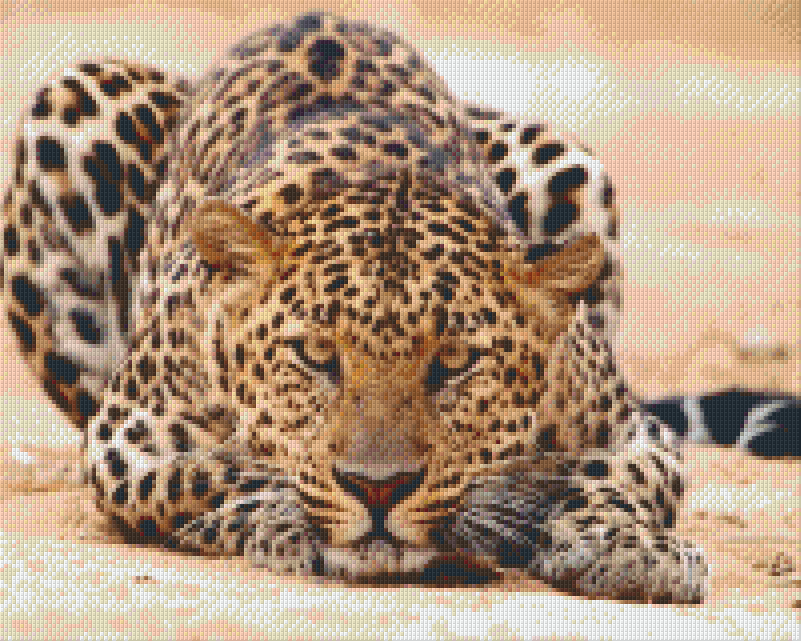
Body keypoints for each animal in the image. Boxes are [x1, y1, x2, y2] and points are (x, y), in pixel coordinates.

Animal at [9, 10, 778, 603]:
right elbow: (214, 474)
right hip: (71, 101)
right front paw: (285, 519)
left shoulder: (631, 431)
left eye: (456, 361)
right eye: (315, 355)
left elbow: (611, 478)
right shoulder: (126, 436)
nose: (378, 490)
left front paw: (626, 547)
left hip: (567, 160)